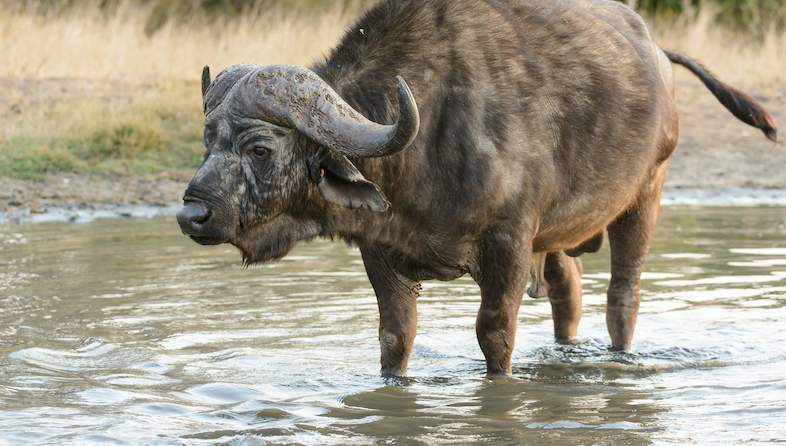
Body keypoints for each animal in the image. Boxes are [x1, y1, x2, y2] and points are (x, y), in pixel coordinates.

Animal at [177, 0, 777, 375]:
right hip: (559, 235)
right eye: (207, 141)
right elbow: (395, 337)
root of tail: (657, 54)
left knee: (621, 296)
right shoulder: (382, 254)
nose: (191, 215)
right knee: (569, 289)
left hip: (645, 195)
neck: (427, 140)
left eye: (259, 148)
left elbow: (495, 334)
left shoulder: (508, 243)